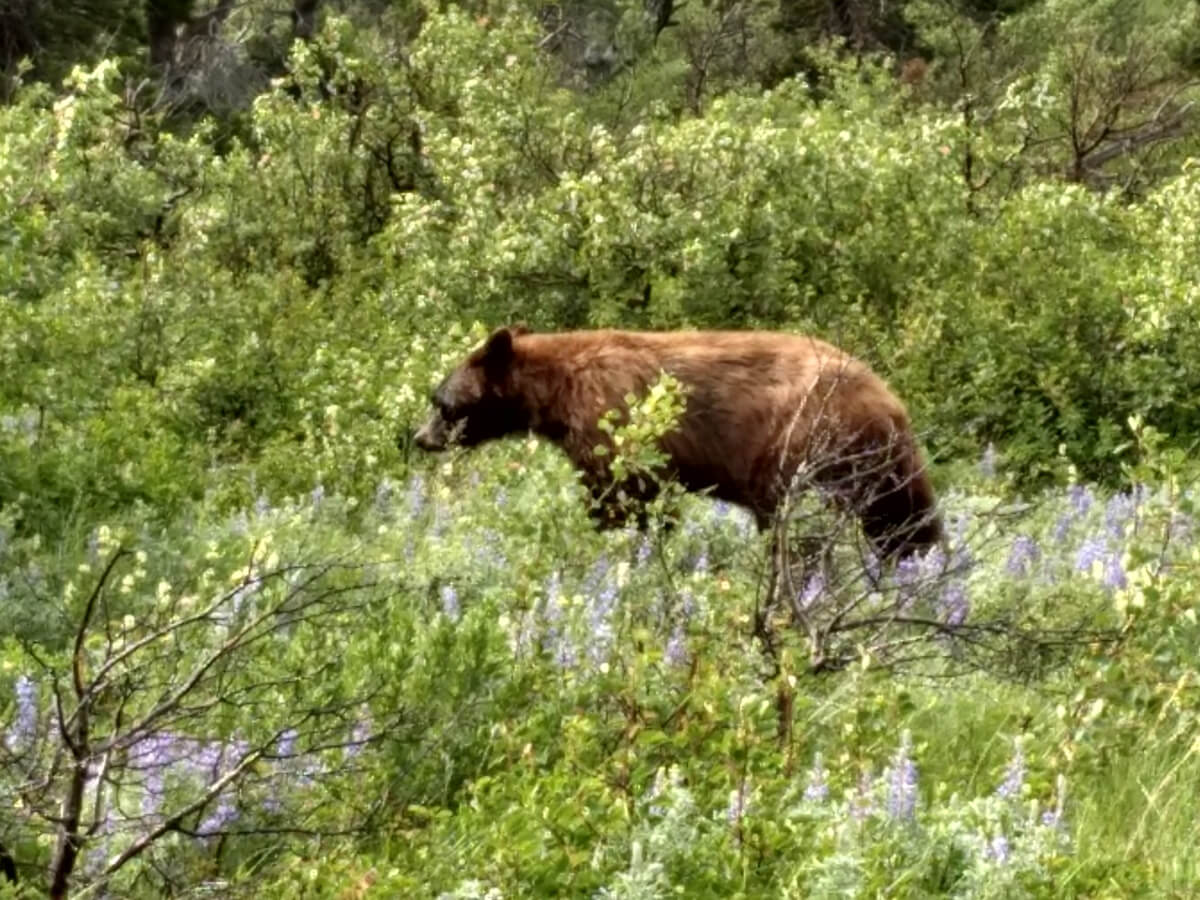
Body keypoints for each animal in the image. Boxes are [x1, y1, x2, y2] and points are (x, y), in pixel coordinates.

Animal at [417, 328, 940, 561]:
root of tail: (888, 399)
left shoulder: (612, 421)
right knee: (903, 515)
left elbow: (624, 497)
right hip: (885, 461)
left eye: (440, 402)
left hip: (803, 443)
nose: (420, 438)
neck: (558, 390)